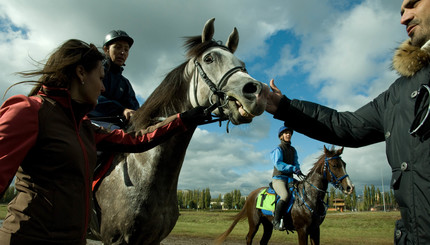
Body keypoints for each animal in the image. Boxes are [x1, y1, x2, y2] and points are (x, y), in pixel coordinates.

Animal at [214, 145, 352, 245]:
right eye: (334, 165)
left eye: (344, 164)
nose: (349, 187)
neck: (310, 196)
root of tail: (252, 194)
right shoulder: (302, 230)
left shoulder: (315, 230)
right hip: (254, 223)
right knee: (249, 238)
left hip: (268, 225)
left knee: (263, 241)